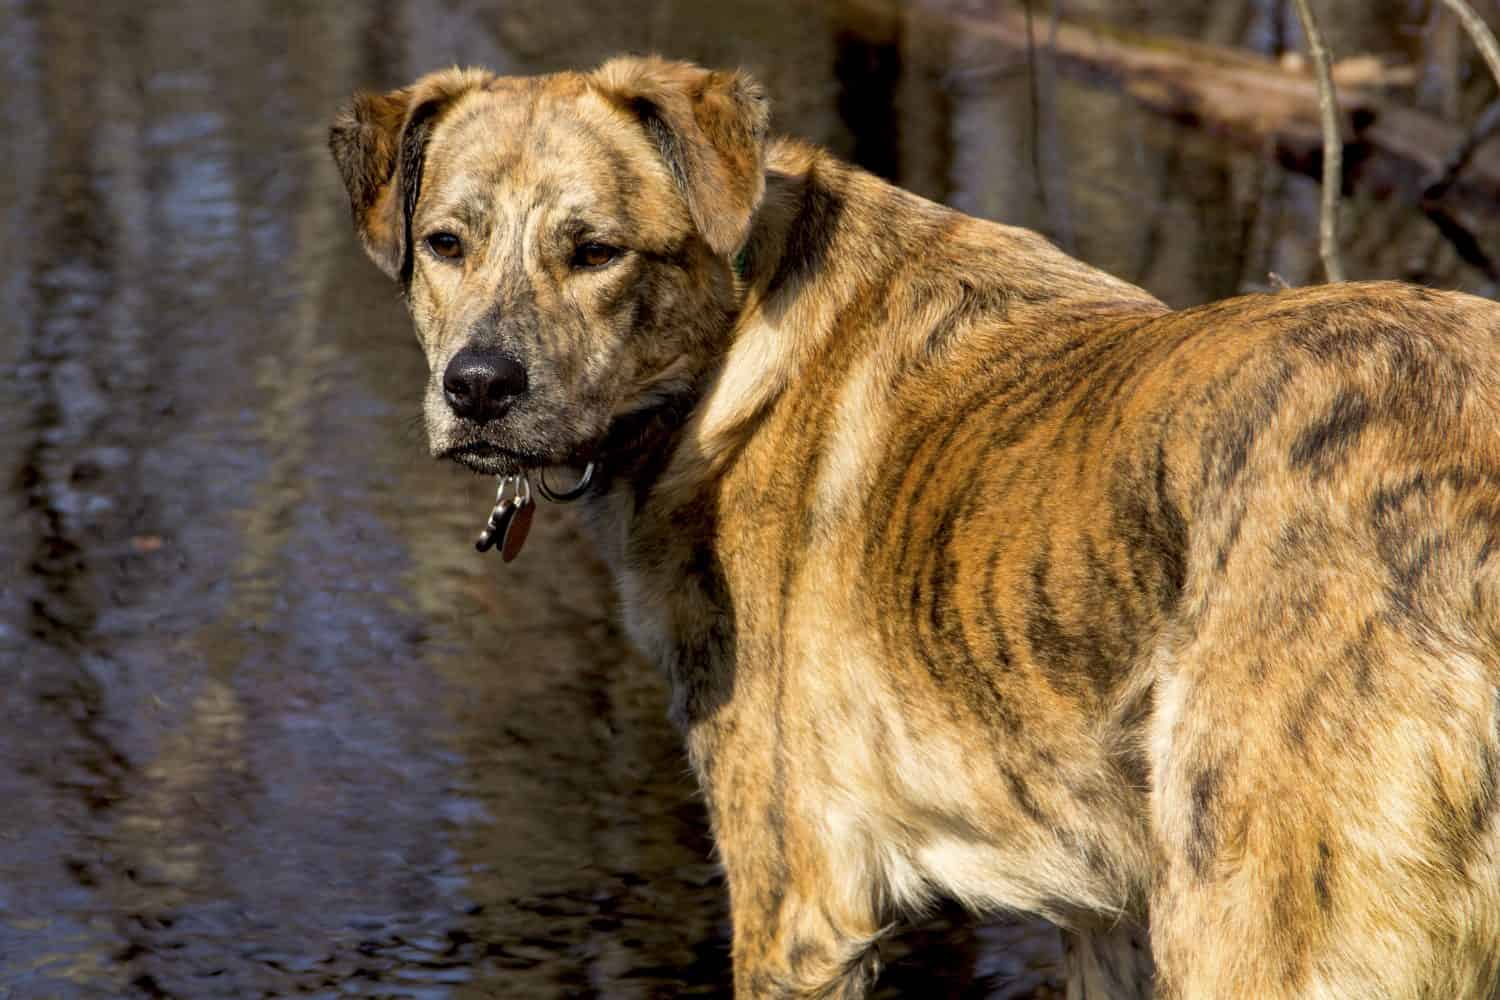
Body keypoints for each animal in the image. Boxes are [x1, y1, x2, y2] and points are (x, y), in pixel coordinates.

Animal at [331, 56, 1500, 1000]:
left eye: (597, 252)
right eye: (444, 244)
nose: (479, 388)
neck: (731, 339)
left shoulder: (796, 903)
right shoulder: (1106, 916)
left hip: (1252, 917)